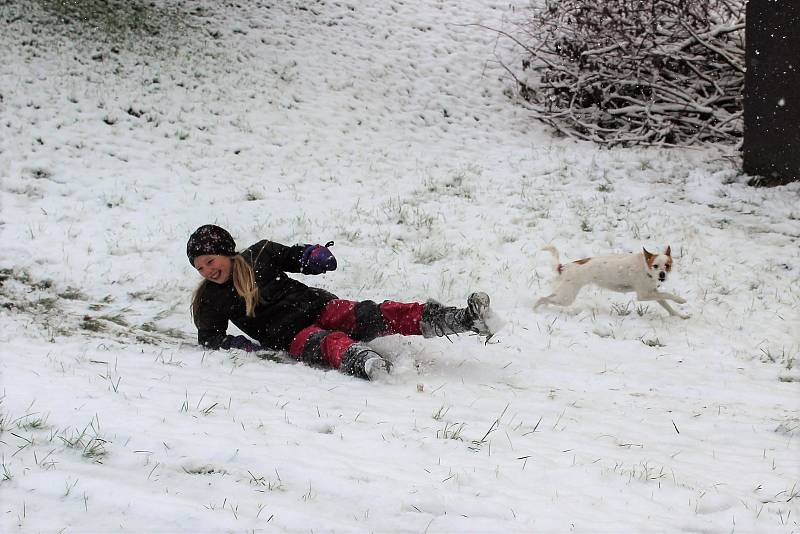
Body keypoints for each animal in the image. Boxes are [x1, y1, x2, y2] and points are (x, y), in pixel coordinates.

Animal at [536, 246, 692, 320]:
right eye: (655, 266)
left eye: (667, 265)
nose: (662, 275)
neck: (644, 267)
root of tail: (564, 267)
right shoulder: (644, 295)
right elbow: (667, 294)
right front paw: (681, 300)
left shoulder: (653, 292)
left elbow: (666, 304)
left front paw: (679, 315)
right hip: (566, 297)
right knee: (541, 298)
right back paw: (535, 309)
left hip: (563, 293)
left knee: (547, 298)